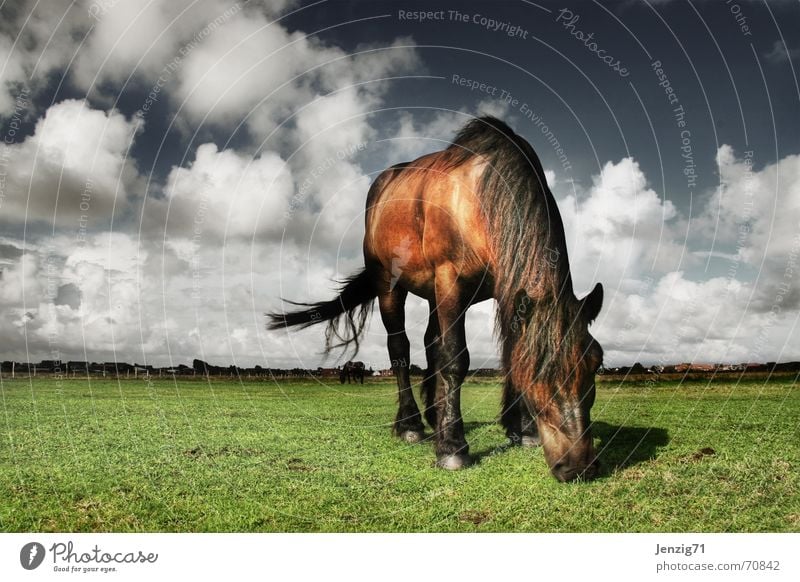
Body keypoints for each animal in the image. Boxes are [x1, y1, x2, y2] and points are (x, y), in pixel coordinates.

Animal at [268, 116, 600, 482]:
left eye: (596, 363)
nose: (578, 466)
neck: (480, 197)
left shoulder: (505, 290)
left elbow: (502, 351)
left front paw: (523, 430)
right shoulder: (450, 282)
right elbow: (454, 359)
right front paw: (453, 448)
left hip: (432, 295)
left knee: (430, 343)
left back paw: (433, 416)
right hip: (391, 286)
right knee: (400, 348)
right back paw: (411, 424)